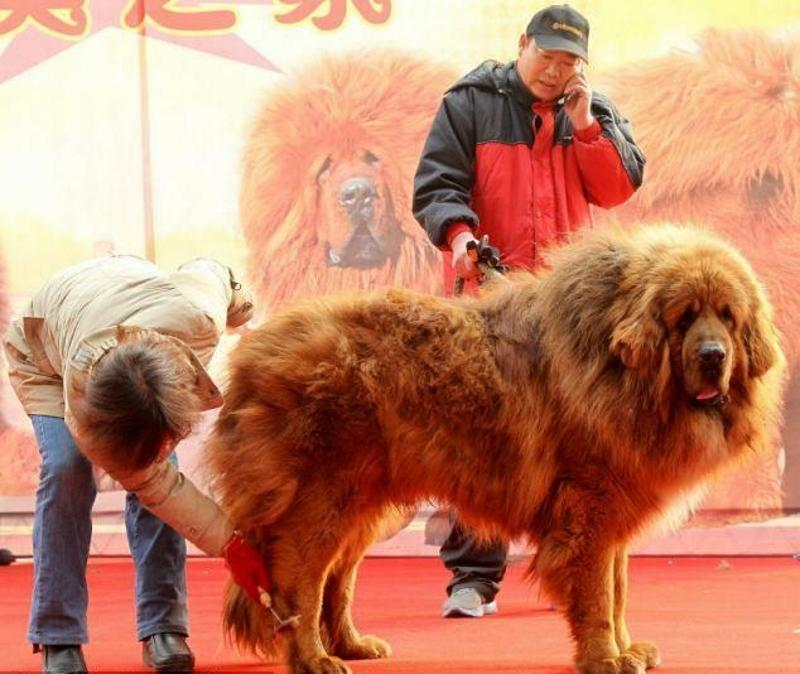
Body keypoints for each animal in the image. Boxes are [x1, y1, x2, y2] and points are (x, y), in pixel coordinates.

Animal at [206, 226, 780, 672]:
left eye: (728, 316)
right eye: (685, 317)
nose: (713, 355)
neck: (623, 372)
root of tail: (253, 353)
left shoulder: (614, 514)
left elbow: (618, 594)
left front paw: (626, 649)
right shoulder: (589, 513)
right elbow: (598, 596)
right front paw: (605, 658)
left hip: (361, 505)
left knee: (336, 580)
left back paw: (350, 645)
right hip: (323, 501)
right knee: (298, 583)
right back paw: (314, 658)